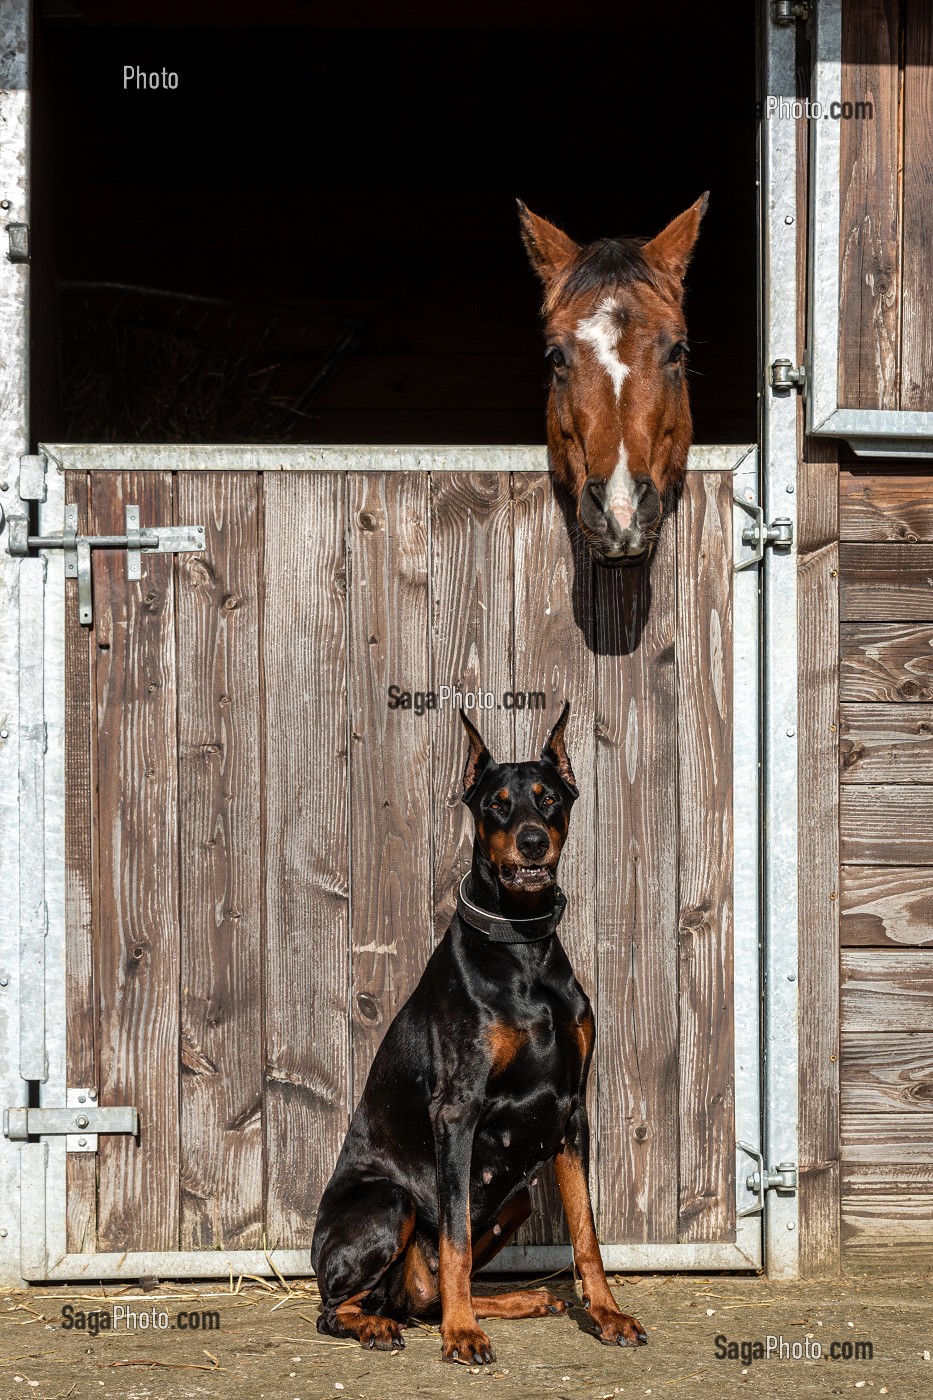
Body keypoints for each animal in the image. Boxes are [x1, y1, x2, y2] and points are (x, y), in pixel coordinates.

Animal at [308, 705, 644, 1360]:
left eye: (549, 799)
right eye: (496, 805)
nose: (533, 839)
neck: (522, 948)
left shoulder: (571, 1111)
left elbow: (587, 1234)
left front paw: (609, 1315)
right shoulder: (457, 1110)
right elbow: (457, 1239)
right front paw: (462, 1334)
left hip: (517, 1200)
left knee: (427, 1292)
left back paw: (518, 1300)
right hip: (393, 1201)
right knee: (338, 1307)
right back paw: (387, 1324)